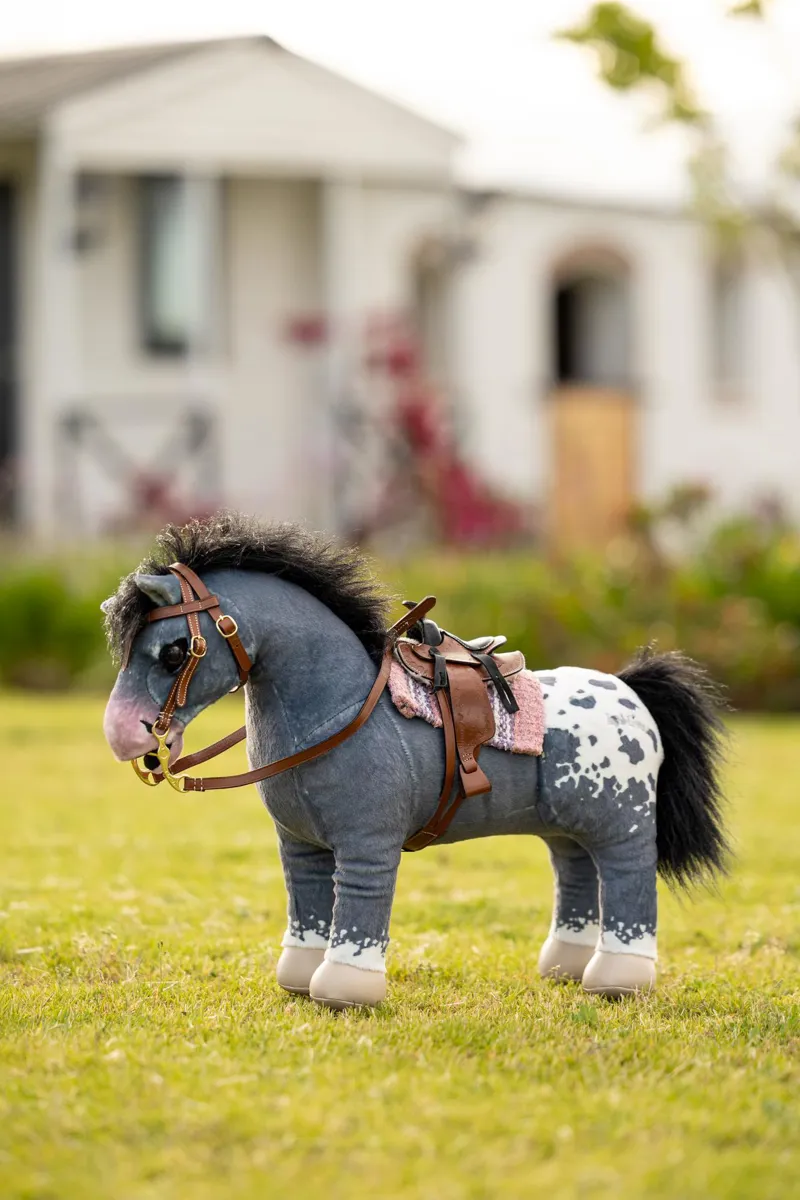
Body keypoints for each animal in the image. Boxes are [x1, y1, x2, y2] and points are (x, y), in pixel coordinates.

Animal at [102, 513, 729, 1009]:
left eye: (175, 651)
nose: (121, 734)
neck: (342, 708)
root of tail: (629, 691)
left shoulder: (367, 845)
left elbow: (358, 907)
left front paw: (345, 989)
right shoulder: (300, 847)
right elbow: (308, 905)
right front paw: (301, 979)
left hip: (621, 825)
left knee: (628, 877)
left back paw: (618, 979)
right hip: (567, 827)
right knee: (577, 872)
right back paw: (567, 968)